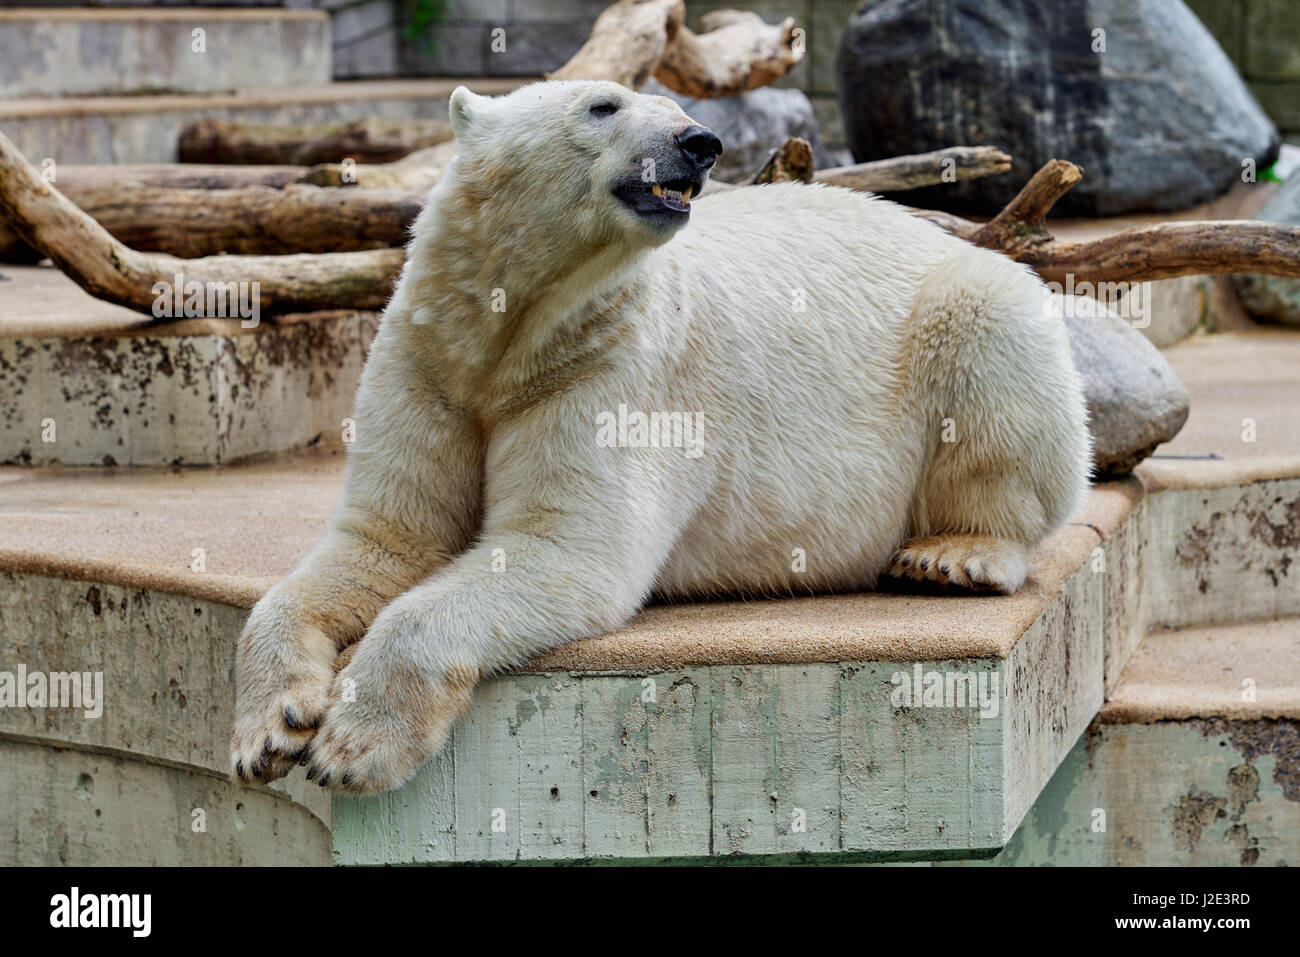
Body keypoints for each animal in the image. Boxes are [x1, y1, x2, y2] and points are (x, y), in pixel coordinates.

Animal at [231, 80, 1086, 790]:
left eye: (673, 104)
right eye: (602, 105)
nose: (699, 141)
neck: (507, 335)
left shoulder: (611, 369)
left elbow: (560, 547)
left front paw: (352, 747)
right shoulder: (428, 360)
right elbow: (384, 541)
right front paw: (267, 731)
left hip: (962, 312)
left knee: (997, 354)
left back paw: (954, 555)